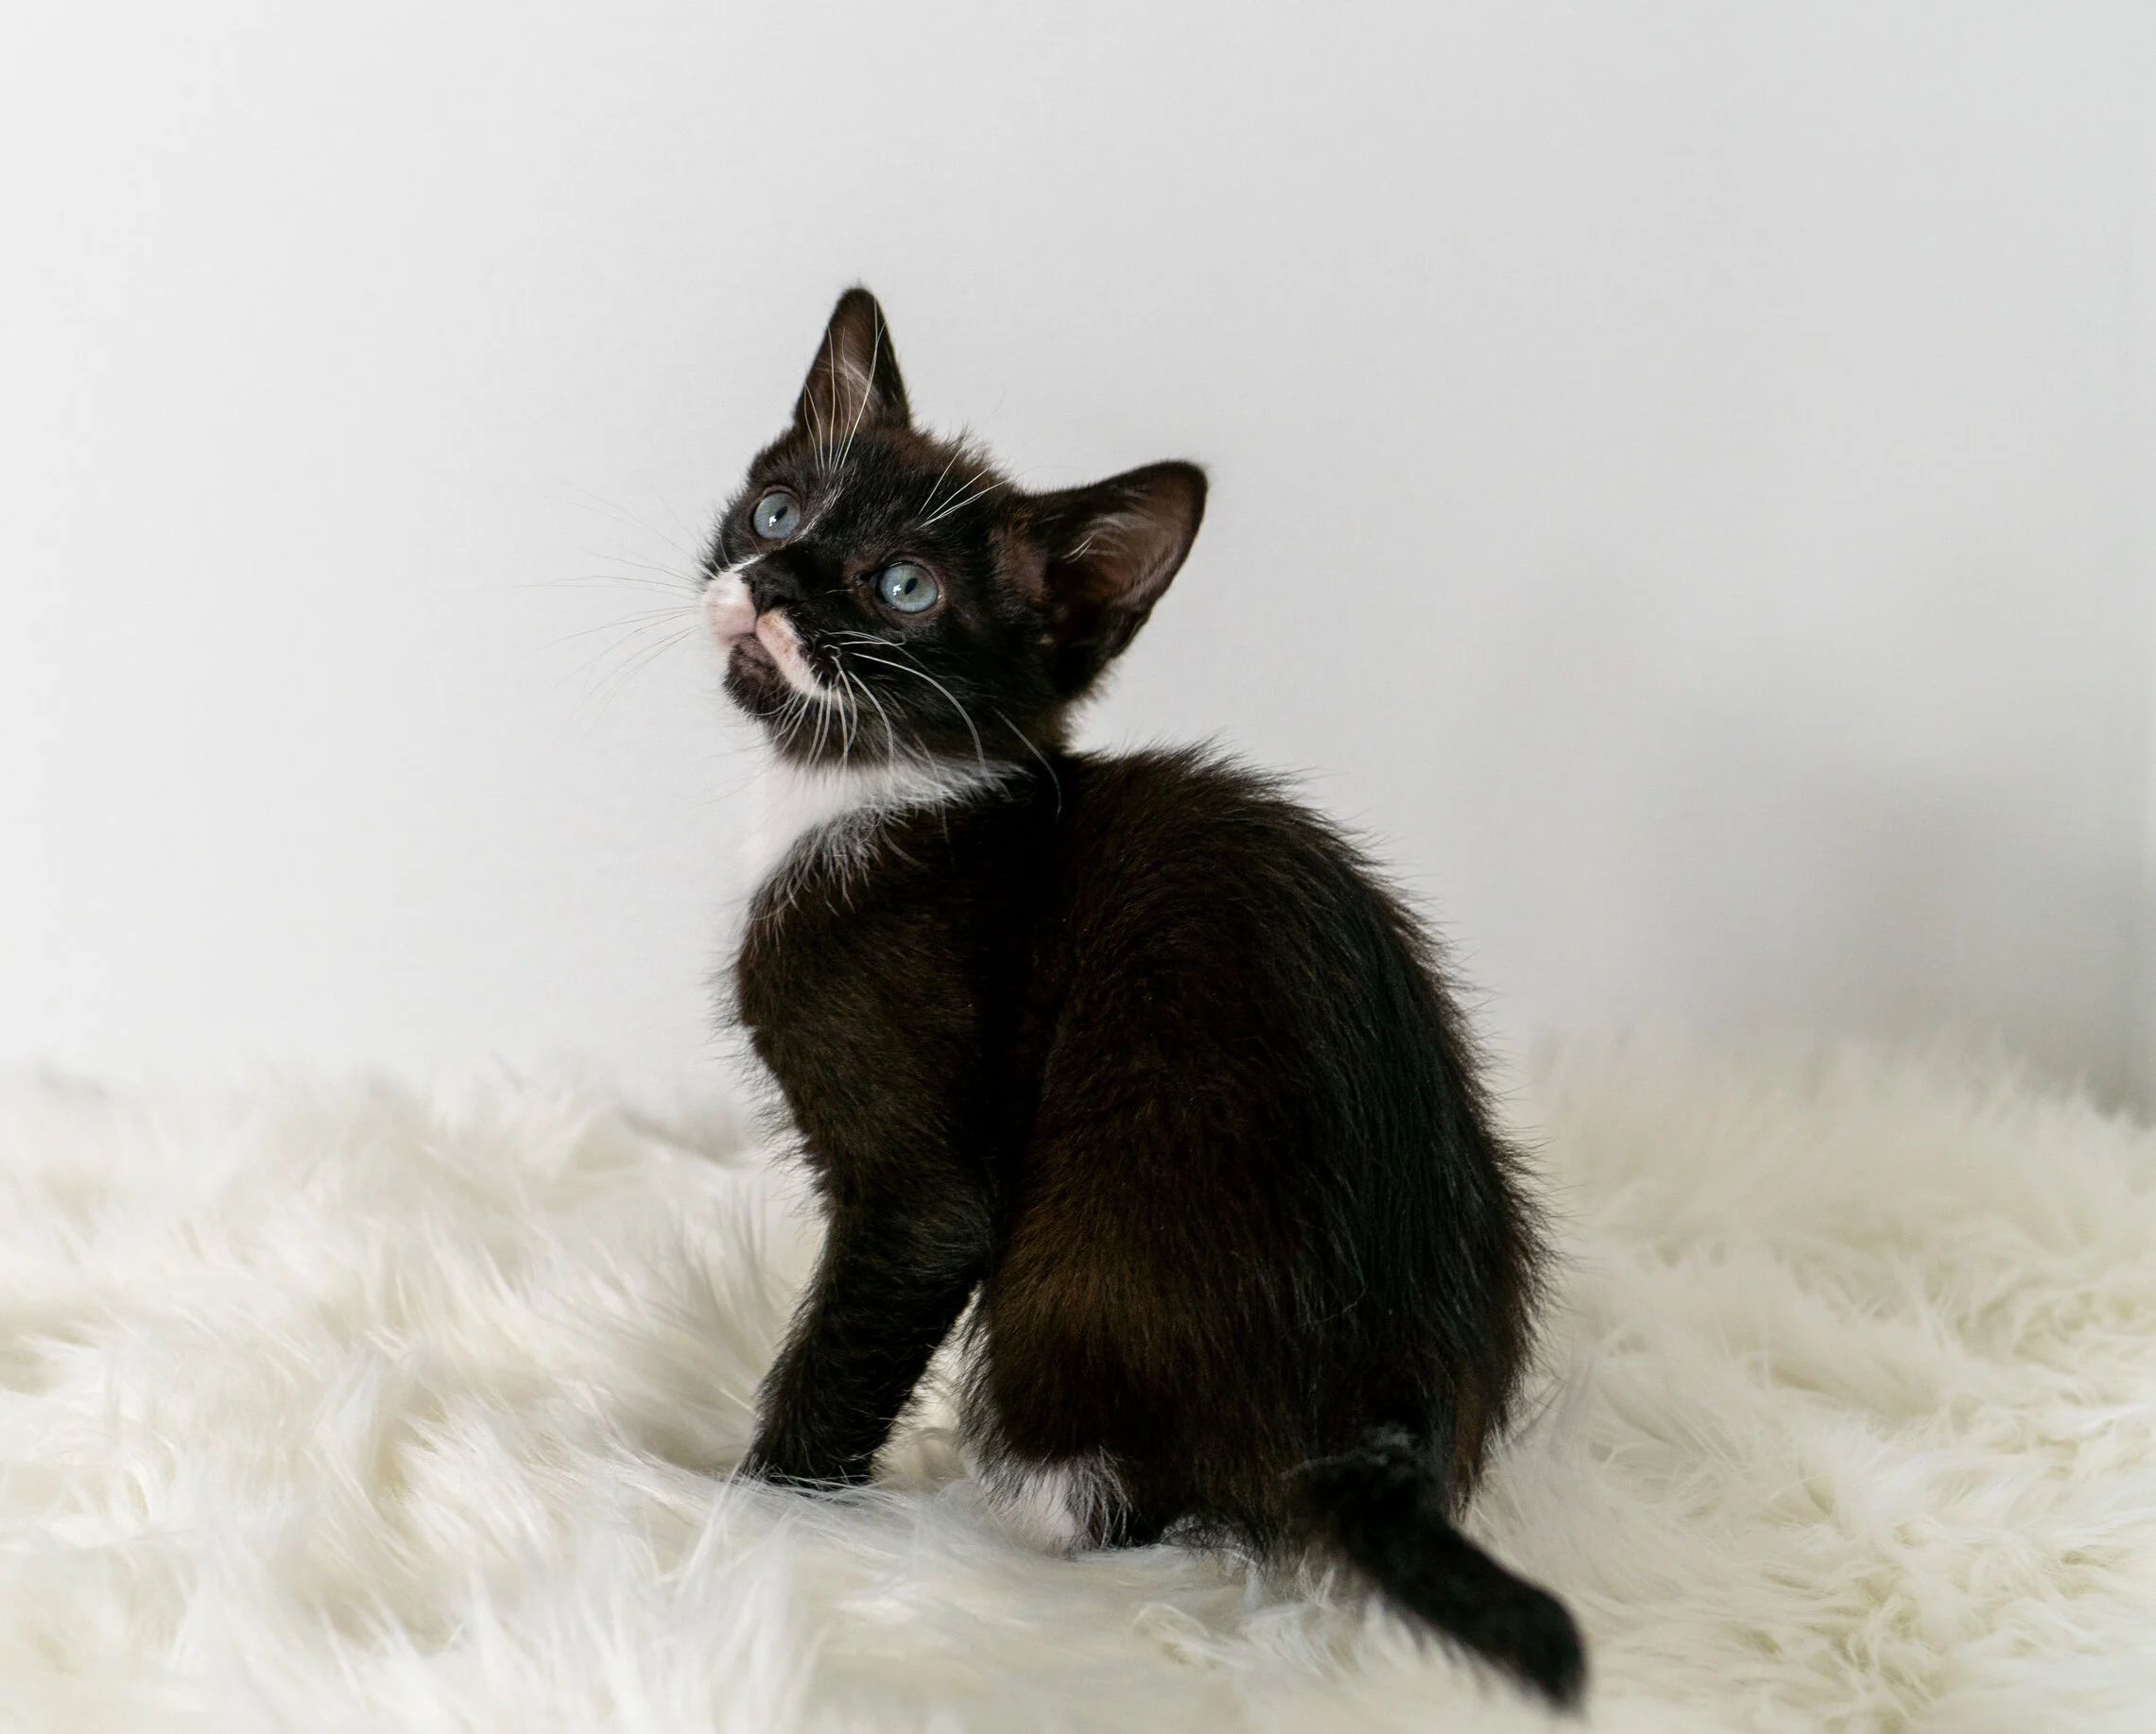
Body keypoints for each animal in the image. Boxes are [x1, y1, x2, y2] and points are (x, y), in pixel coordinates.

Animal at [705, 288, 1585, 1707]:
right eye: (778, 511)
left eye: (905, 586)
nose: (773, 582)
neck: (868, 791)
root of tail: (1385, 1409)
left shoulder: (919, 1190)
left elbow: (847, 1338)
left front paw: (750, 1517)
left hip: (1085, 1257)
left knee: (1138, 1503)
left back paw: (989, 1512)